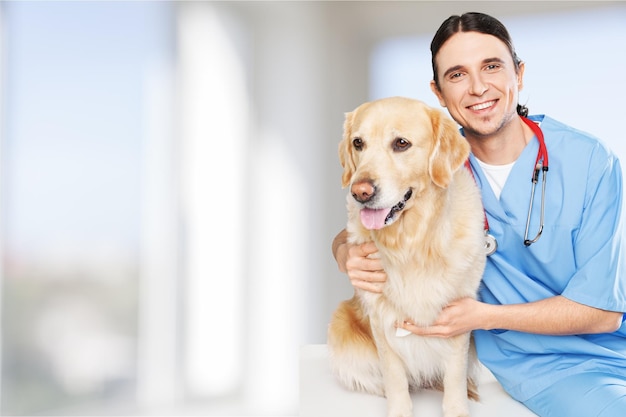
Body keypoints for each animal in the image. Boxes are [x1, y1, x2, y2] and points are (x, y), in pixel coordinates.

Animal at [330, 96, 486, 416]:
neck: (412, 242)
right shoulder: (380, 319)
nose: (360, 192)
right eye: (358, 143)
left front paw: (457, 408)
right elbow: (395, 378)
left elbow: (454, 376)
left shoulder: (459, 316)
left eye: (401, 143)